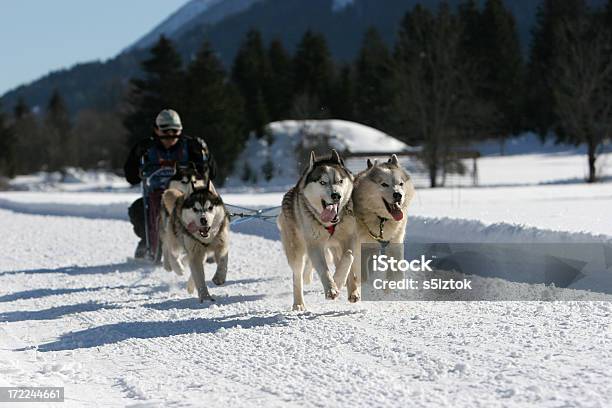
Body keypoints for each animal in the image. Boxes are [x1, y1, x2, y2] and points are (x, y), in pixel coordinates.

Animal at [278, 148, 358, 310]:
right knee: (297, 275)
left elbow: (348, 257)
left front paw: (340, 282)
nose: (336, 195)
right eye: (322, 182)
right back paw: (298, 303)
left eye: (340, 181)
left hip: (334, 247)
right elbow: (323, 269)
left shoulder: (349, 238)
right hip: (296, 250)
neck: (329, 224)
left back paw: (351, 289)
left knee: (343, 262)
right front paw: (331, 288)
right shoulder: (314, 245)